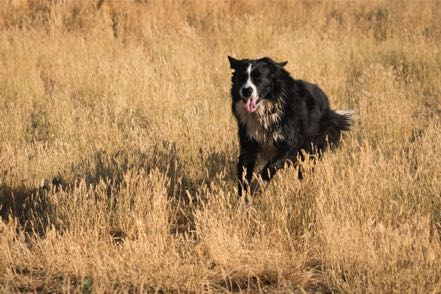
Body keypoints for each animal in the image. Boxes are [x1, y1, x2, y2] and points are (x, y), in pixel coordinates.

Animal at [229, 56, 352, 196]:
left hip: (312, 146)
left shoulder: (290, 144)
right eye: (241, 77)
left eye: (259, 77)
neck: (267, 110)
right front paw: (243, 197)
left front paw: (256, 187)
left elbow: (270, 166)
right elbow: (244, 173)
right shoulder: (248, 144)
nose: (246, 91)